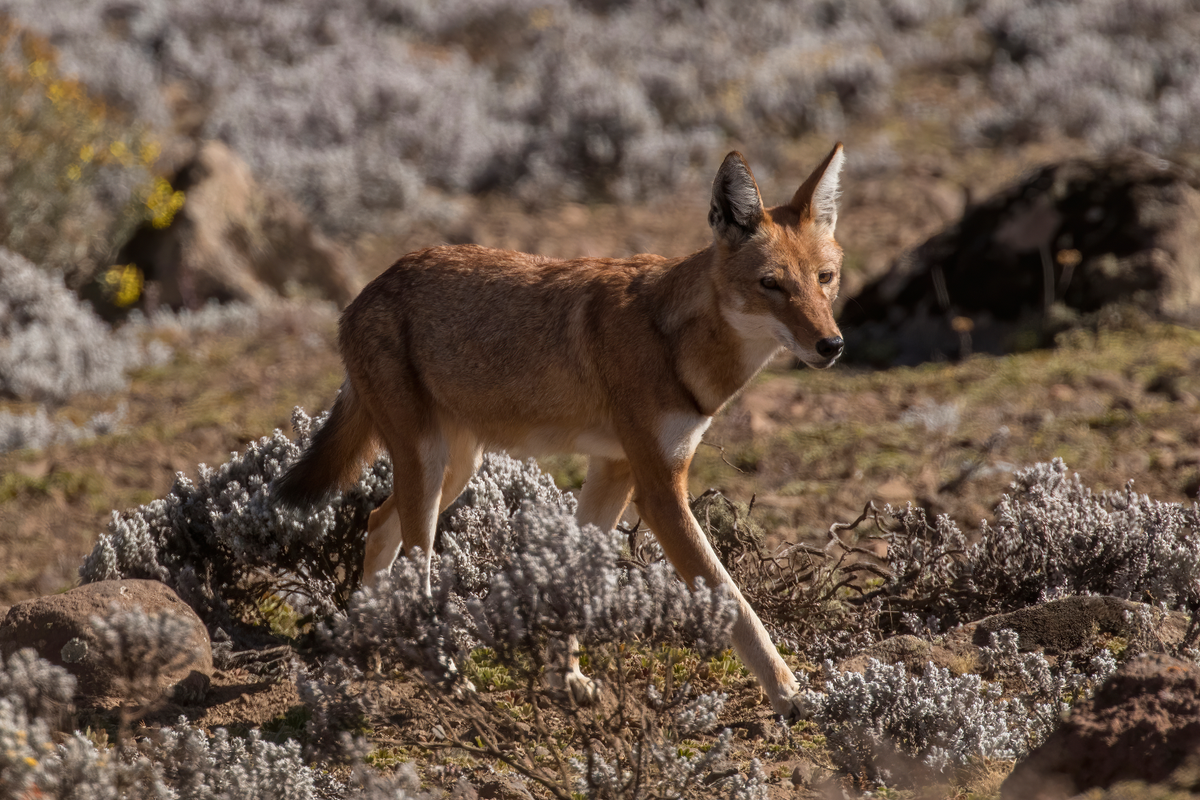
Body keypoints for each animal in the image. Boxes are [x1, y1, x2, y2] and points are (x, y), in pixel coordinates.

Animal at [276, 145, 849, 719]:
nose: (832, 345)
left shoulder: (615, 471)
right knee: (415, 571)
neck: (675, 342)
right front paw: (790, 693)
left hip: (454, 471)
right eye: (771, 284)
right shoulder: (660, 493)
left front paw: (566, 678)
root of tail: (364, 292)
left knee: (376, 524)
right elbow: (735, 602)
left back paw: (369, 650)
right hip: (432, 469)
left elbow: (575, 578)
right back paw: (446, 676)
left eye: (825, 278)